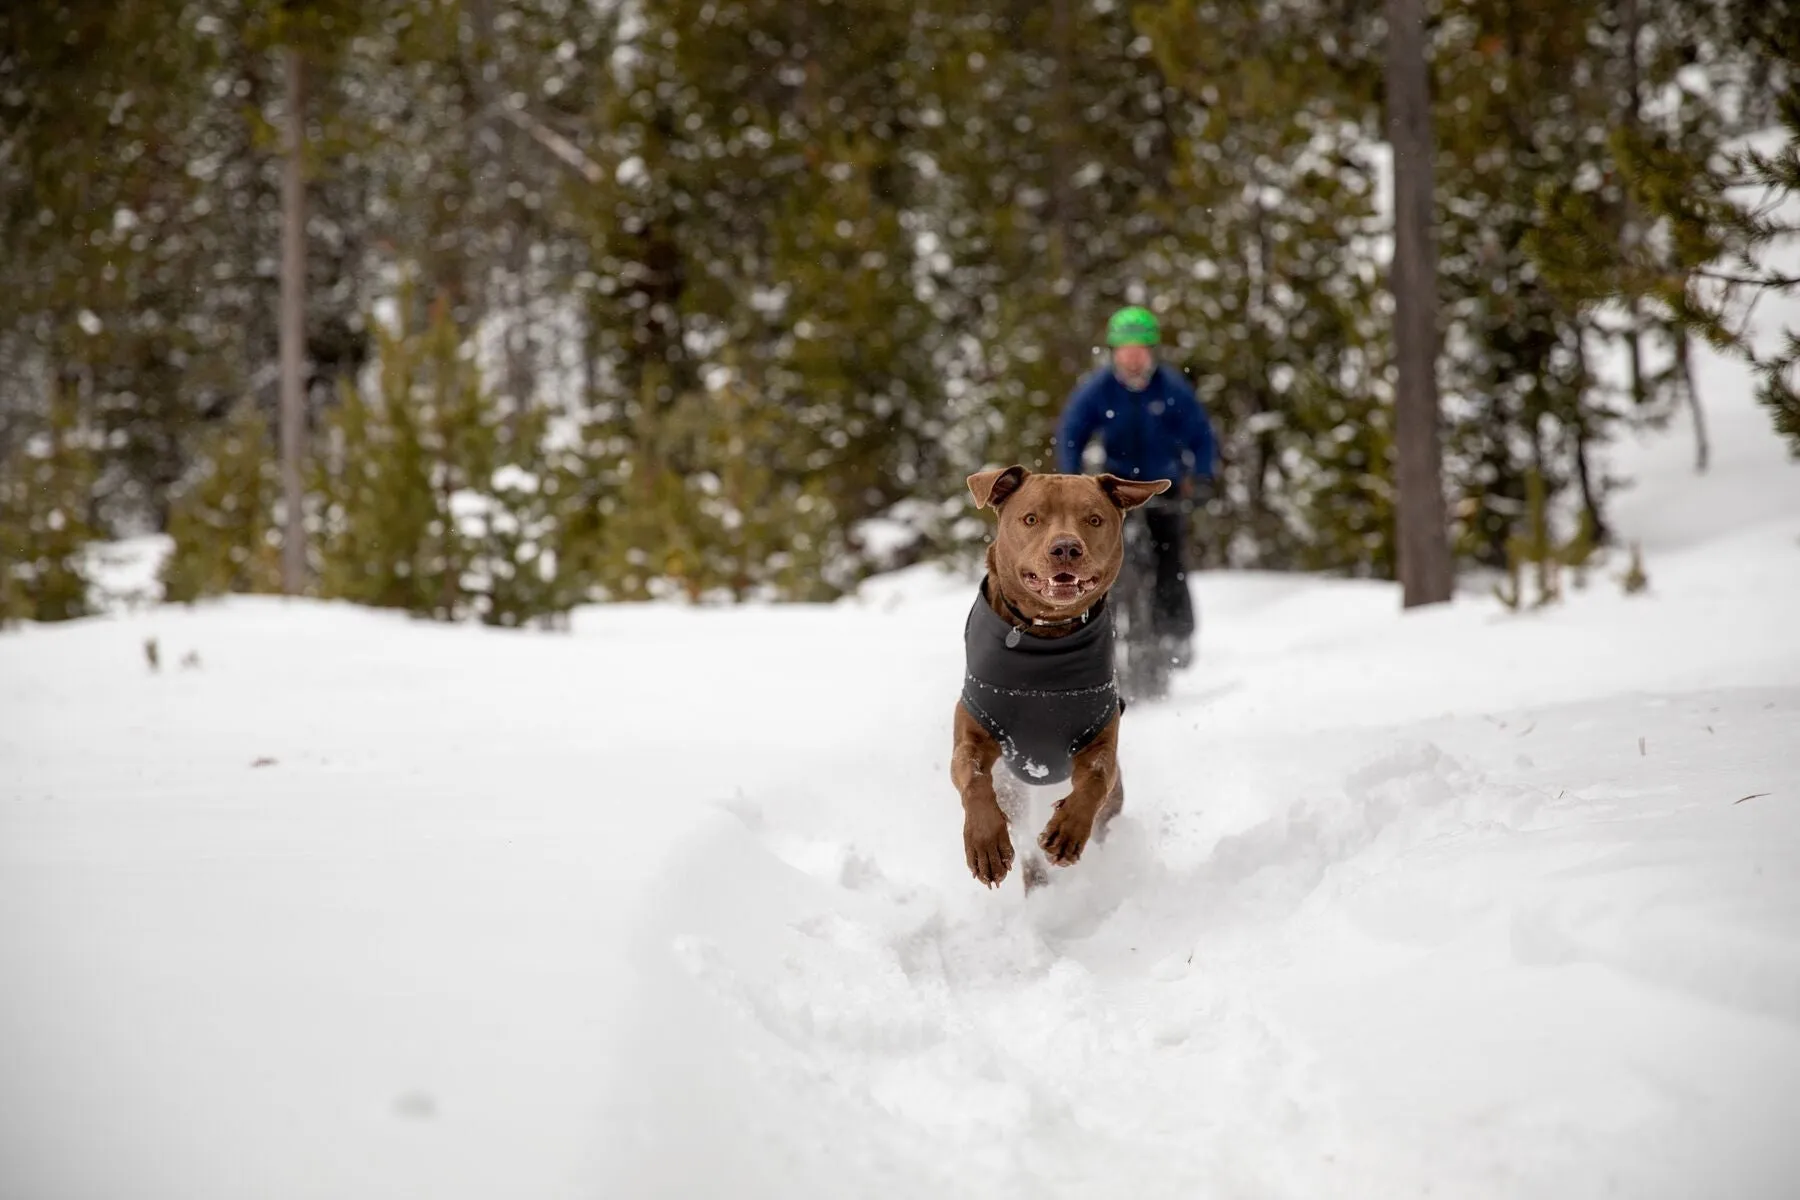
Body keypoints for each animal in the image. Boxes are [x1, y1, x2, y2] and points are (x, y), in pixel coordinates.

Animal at [950, 464, 1173, 888]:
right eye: (1031, 519)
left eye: (1094, 519)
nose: (1066, 548)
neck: (1045, 638)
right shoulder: (976, 726)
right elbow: (971, 773)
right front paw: (985, 845)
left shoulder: (1099, 732)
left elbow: (1096, 776)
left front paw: (1067, 831)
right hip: (1016, 792)